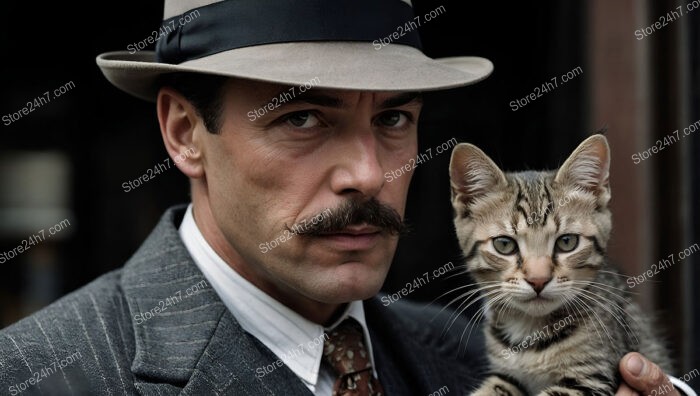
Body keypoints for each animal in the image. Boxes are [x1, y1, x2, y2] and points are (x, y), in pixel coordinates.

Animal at [448, 135, 672, 394]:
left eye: (567, 242)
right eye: (504, 244)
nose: (538, 280)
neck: (530, 329)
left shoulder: (592, 376)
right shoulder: (506, 375)